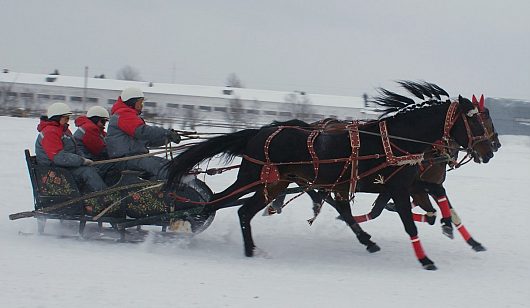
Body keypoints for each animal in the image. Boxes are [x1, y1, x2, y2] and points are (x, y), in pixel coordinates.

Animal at [165, 82, 490, 270]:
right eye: (477, 121)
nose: (491, 149)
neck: (396, 141)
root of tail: (260, 132)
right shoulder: (397, 187)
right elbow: (409, 222)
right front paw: (425, 259)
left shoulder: (406, 182)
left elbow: (435, 197)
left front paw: (462, 234)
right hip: (256, 177)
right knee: (218, 202)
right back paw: (187, 224)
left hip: (276, 183)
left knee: (241, 210)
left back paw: (248, 248)